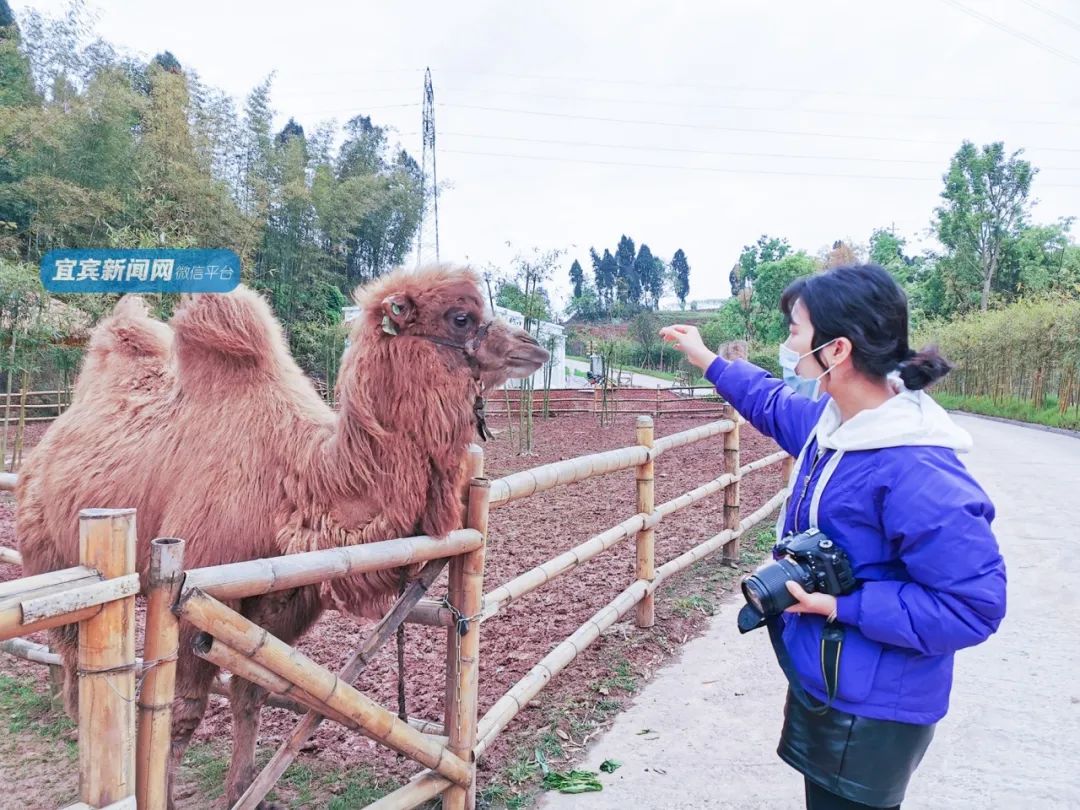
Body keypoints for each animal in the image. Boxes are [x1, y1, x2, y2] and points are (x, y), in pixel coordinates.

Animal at [12, 264, 544, 807]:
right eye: (462, 317)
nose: (535, 346)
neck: (300, 481)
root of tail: (45, 446)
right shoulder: (189, 593)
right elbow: (182, 712)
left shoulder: (282, 602)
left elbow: (251, 694)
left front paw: (243, 791)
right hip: (56, 555)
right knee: (75, 654)